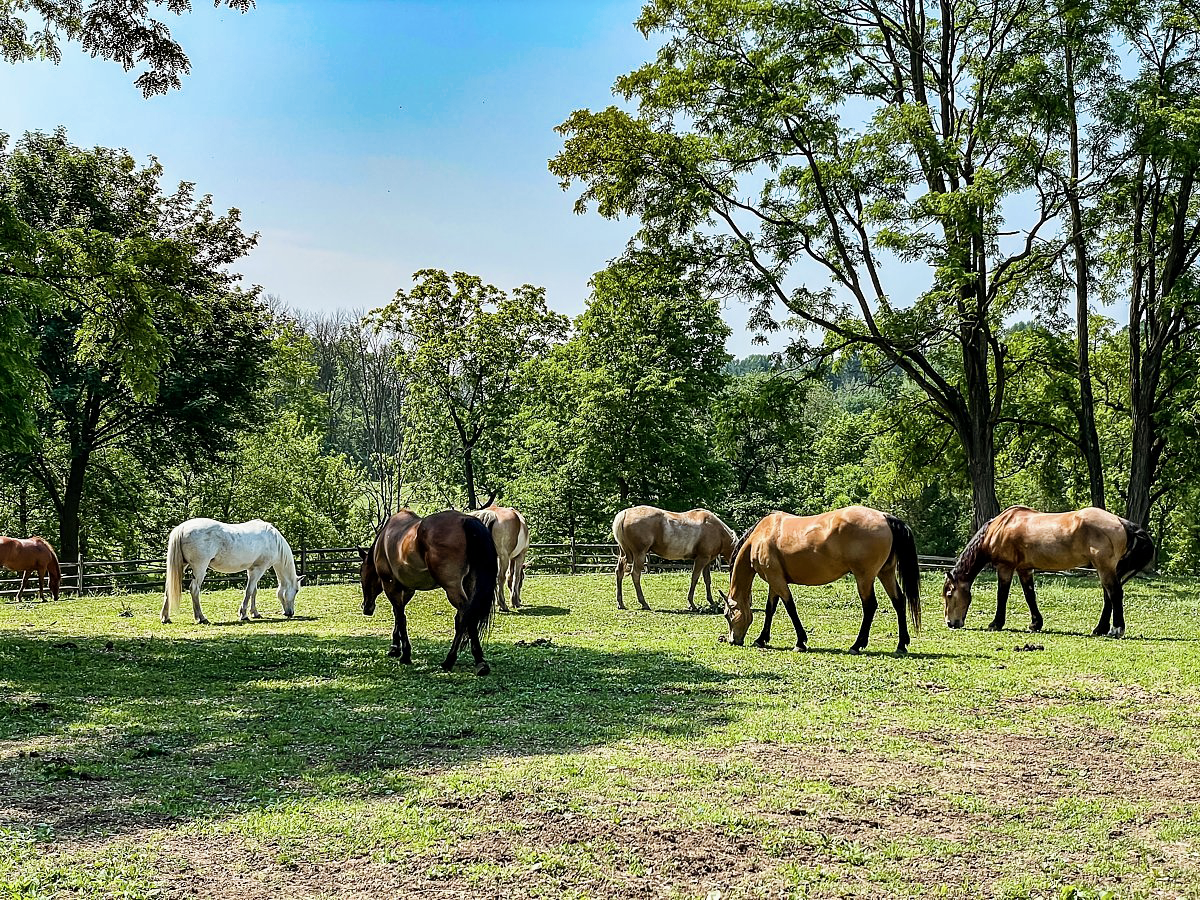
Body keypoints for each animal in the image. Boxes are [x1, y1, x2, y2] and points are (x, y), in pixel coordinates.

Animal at [161, 518, 302, 625]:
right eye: (296, 590)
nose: (290, 613)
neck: (273, 540)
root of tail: (182, 528)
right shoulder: (259, 569)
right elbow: (249, 591)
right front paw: (243, 615)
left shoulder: (252, 569)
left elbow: (254, 591)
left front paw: (255, 613)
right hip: (200, 567)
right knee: (194, 589)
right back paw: (201, 618)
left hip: (182, 565)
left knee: (168, 588)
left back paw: (165, 618)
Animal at [360, 509, 498, 675]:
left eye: (361, 574)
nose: (366, 607)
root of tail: (465, 520)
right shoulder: (407, 588)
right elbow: (398, 615)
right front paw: (395, 648)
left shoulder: (390, 586)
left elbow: (400, 617)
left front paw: (405, 654)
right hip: (469, 584)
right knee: (468, 616)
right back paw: (479, 661)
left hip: (453, 588)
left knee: (465, 616)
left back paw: (450, 660)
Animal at [719, 506, 921, 654]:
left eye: (727, 615)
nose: (733, 641)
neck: (762, 535)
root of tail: (885, 517)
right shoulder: (774, 581)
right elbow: (771, 609)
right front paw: (761, 639)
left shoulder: (776, 580)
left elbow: (790, 607)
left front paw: (800, 642)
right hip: (885, 573)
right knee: (899, 601)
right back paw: (901, 645)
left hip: (864, 577)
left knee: (870, 606)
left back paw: (856, 645)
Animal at [942, 506, 1156, 638]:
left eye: (949, 594)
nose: (950, 623)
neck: (999, 528)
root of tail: (1121, 522)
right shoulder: (1024, 569)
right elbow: (1030, 596)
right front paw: (1036, 624)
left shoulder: (1005, 567)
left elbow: (1001, 595)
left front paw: (996, 623)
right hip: (1108, 569)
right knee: (1108, 597)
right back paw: (1100, 629)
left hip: (1104, 567)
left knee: (1115, 594)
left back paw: (1116, 629)